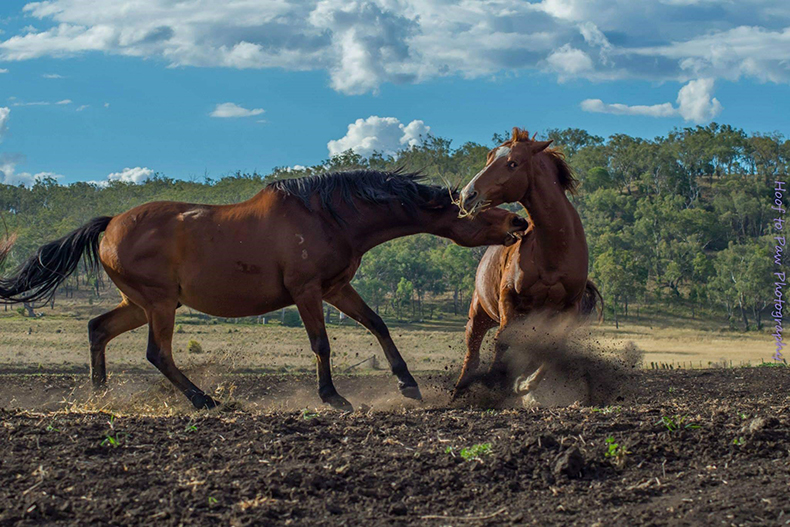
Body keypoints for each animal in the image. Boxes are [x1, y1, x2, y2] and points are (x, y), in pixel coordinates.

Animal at [1, 171, 532, 410]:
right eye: (479, 204)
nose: (519, 223)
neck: (328, 215)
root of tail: (110, 224)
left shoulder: (336, 288)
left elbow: (378, 325)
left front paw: (408, 384)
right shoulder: (306, 291)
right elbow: (321, 343)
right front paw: (333, 397)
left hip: (140, 304)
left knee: (97, 329)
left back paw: (102, 396)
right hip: (158, 304)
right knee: (157, 353)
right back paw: (202, 400)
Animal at [452, 130, 600, 398]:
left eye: (513, 163)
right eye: (489, 158)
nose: (467, 195)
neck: (553, 252)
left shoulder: (568, 309)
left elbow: (553, 345)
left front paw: (526, 383)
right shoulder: (509, 297)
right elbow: (503, 339)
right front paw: (497, 380)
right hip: (478, 314)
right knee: (473, 354)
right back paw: (460, 390)